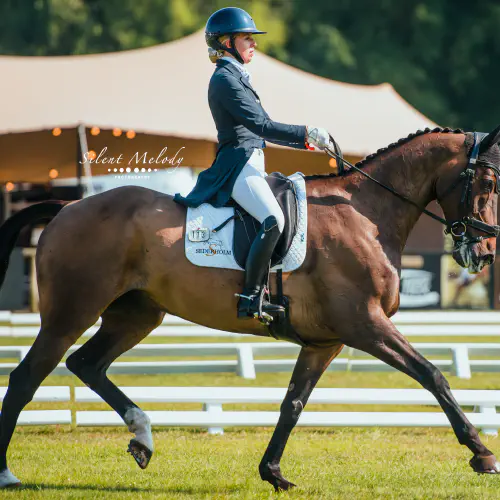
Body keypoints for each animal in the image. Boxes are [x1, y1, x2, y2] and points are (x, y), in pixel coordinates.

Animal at [0, 126, 500, 492]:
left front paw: (273, 473)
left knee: (87, 364)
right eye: (490, 182)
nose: (487, 252)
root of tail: (69, 207)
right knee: (26, 378)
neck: (364, 214)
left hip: (135, 315)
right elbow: (432, 375)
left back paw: (142, 438)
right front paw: (482, 454)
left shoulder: (325, 342)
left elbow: (293, 403)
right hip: (70, 314)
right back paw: (9, 473)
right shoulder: (365, 325)